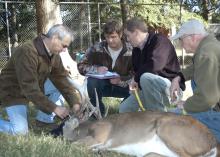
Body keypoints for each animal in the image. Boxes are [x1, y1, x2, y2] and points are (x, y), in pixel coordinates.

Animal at [64, 77, 218, 157]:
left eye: (65, 124)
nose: (61, 132)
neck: (86, 128)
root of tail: (214, 142)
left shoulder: (100, 135)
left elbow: (74, 144)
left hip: (167, 128)